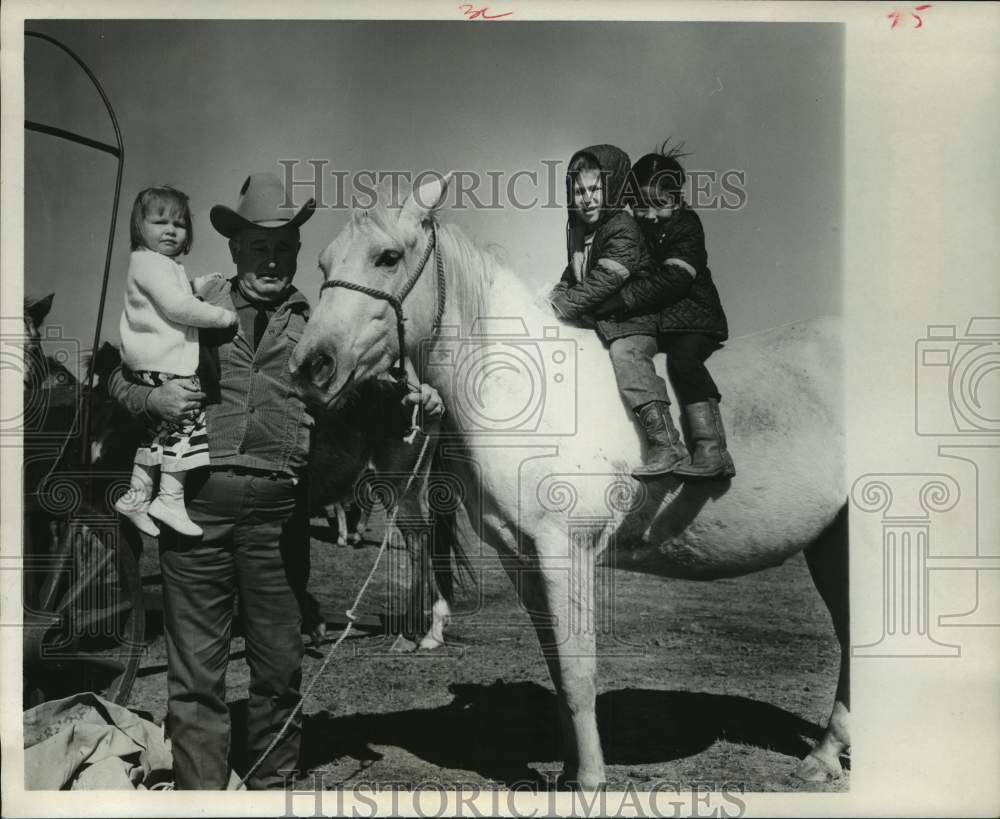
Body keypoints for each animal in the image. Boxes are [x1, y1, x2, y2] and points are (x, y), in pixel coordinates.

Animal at [292, 176, 852, 792]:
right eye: (322, 264)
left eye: (388, 257)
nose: (310, 367)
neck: (526, 386)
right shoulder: (521, 557)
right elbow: (558, 668)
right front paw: (566, 772)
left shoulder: (566, 552)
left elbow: (578, 667)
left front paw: (589, 783)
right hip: (832, 544)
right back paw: (826, 755)